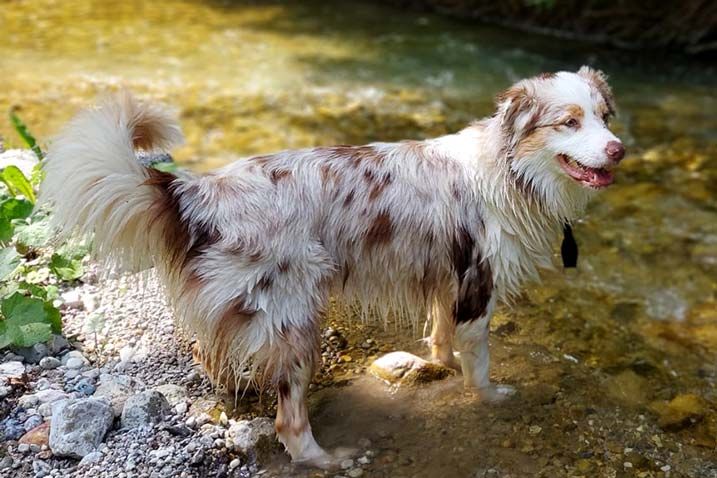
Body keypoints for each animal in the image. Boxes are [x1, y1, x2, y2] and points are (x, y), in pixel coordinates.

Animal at [39, 66, 620, 466]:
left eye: (605, 116)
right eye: (569, 122)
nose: (617, 150)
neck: (512, 170)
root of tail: (201, 193)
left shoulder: (443, 275)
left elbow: (441, 335)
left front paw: (441, 364)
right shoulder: (478, 281)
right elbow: (478, 357)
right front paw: (491, 397)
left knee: (215, 353)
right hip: (297, 315)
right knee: (288, 419)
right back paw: (323, 458)